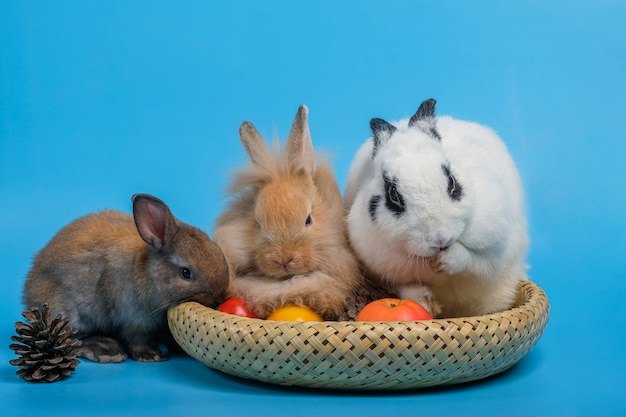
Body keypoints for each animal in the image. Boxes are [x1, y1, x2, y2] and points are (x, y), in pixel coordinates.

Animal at [23, 193, 232, 362]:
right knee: (74, 340)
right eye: (186, 273)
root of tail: (28, 298)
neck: (148, 272)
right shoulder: (135, 319)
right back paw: (106, 350)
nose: (219, 298)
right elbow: (137, 339)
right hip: (68, 313)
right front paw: (152, 356)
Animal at [342, 97, 528, 316]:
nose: (440, 239)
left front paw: (448, 259)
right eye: (393, 195)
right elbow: (404, 286)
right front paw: (424, 300)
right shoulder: (381, 269)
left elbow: (474, 262)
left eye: (452, 181)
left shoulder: (495, 254)